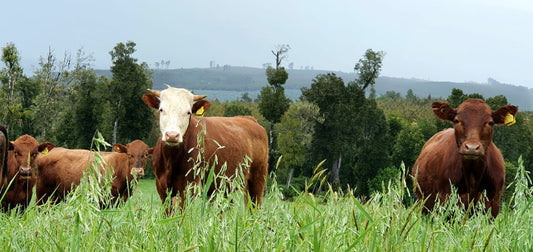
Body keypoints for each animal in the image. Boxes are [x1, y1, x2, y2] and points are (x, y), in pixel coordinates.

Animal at [141, 85, 268, 213]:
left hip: (257, 181)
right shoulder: (162, 189)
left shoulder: (188, 188)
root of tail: (249, 119)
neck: (171, 160)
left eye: (188, 112)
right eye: (161, 110)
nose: (172, 135)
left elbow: (182, 214)